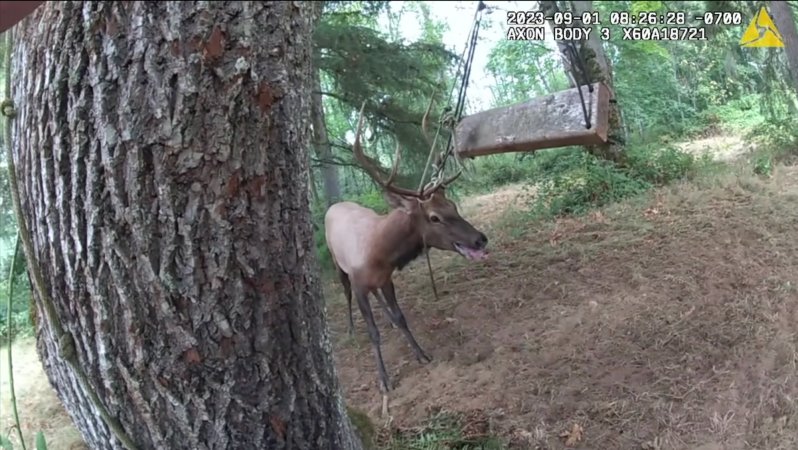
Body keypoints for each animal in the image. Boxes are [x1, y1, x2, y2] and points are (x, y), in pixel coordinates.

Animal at [324, 102, 488, 414]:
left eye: (453, 205)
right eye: (434, 217)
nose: (480, 239)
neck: (379, 253)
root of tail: (332, 206)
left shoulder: (387, 279)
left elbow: (401, 317)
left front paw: (421, 353)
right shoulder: (359, 282)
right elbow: (372, 331)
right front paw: (384, 380)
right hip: (336, 263)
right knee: (345, 293)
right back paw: (350, 328)